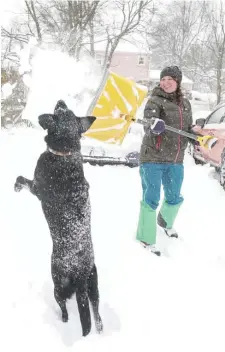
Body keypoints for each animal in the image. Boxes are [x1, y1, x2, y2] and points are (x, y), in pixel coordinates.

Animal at [14, 100, 104, 336]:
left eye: (59, 111)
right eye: (66, 110)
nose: (61, 101)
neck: (65, 153)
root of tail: (80, 274)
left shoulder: (36, 187)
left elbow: (21, 179)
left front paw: (16, 186)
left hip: (57, 284)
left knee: (64, 308)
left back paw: (62, 319)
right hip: (94, 285)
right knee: (96, 314)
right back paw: (99, 330)